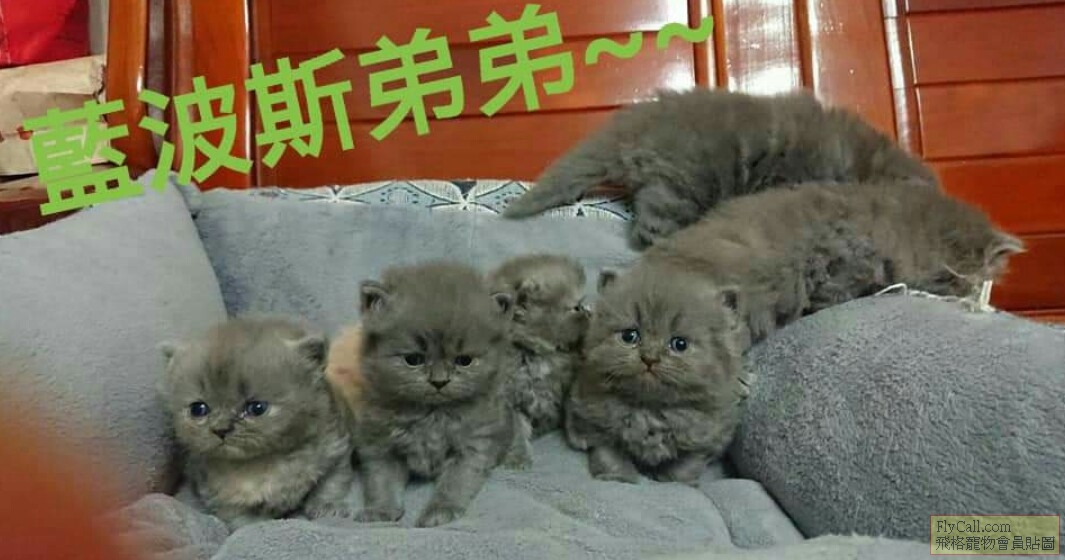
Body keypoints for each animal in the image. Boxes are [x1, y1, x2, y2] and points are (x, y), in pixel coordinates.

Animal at [158, 316, 355, 530]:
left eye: (257, 408)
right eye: (198, 409)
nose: (221, 429)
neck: (266, 462)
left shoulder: (335, 447)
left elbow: (331, 483)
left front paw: (327, 507)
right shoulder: (220, 495)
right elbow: (242, 519)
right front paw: (259, 526)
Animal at [352, 261, 519, 528]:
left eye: (464, 360)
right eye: (413, 359)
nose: (439, 381)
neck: (432, 415)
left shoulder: (472, 447)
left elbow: (455, 483)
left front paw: (440, 511)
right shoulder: (379, 443)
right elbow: (381, 481)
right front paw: (380, 510)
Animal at [487, 254, 592, 467]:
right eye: (576, 307)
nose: (590, 312)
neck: (537, 353)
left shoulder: (570, 380)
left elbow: (572, 406)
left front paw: (580, 433)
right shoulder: (508, 396)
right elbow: (516, 427)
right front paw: (518, 455)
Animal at [564, 265, 749, 486]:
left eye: (680, 344)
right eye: (629, 336)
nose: (649, 358)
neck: (650, 409)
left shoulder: (707, 436)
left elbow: (686, 465)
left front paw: (675, 483)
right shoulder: (597, 424)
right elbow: (609, 454)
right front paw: (618, 478)